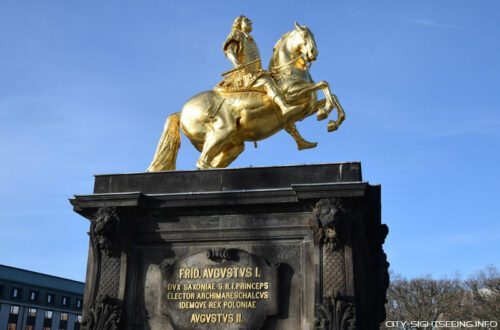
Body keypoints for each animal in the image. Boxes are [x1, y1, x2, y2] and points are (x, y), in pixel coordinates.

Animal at [146, 23, 346, 170]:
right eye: (304, 36)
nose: (314, 53)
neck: (288, 71)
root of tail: (182, 112)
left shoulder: (307, 107)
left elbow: (332, 95)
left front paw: (332, 121)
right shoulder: (292, 95)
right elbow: (324, 84)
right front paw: (325, 113)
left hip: (232, 144)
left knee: (211, 162)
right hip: (221, 131)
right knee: (202, 162)